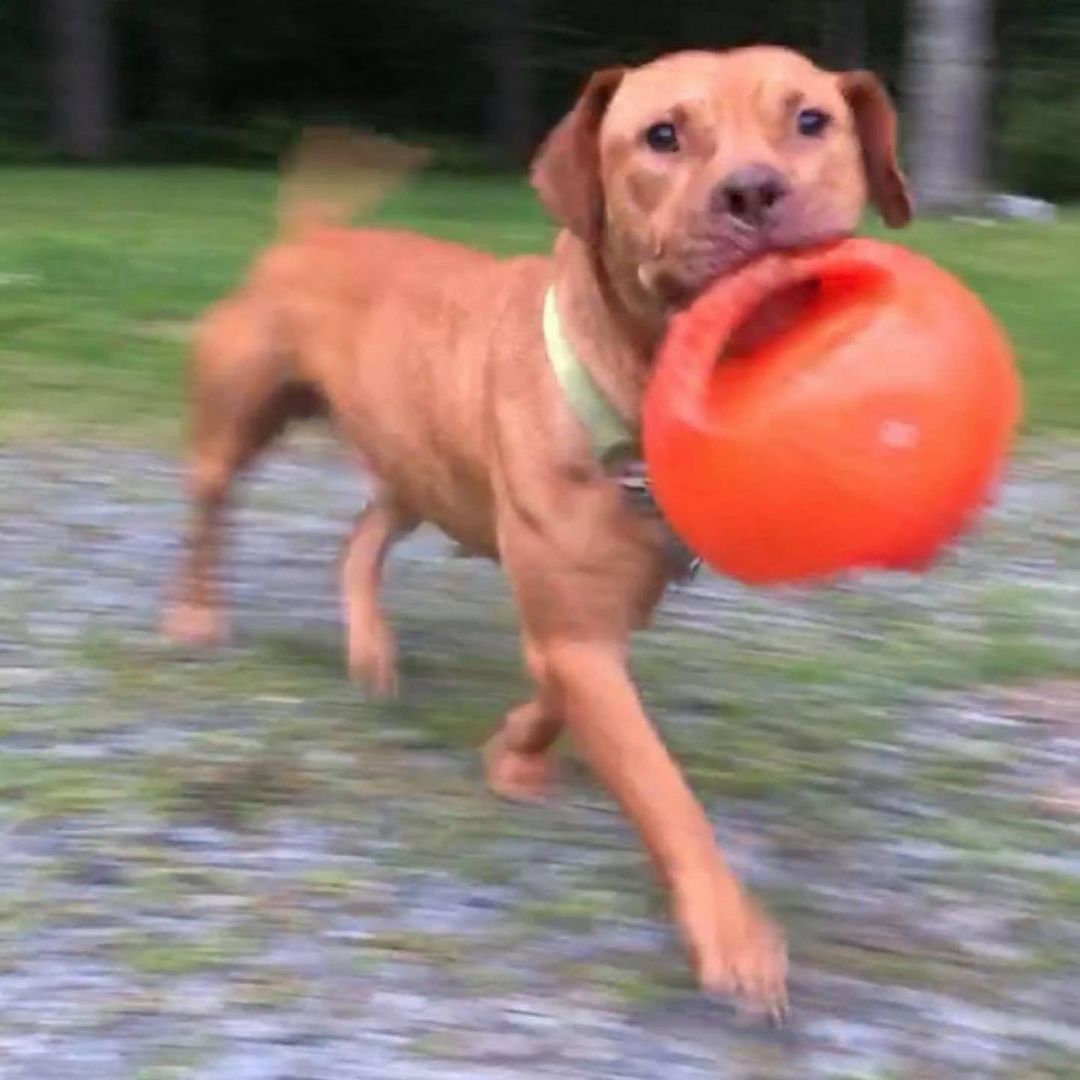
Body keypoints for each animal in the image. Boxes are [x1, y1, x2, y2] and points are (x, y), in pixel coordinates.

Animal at [162, 48, 911, 1010]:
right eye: (661, 135)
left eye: (812, 120)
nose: (752, 190)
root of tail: (310, 234)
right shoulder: (577, 626)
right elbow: (660, 787)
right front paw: (733, 936)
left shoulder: (602, 612)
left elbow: (558, 695)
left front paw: (515, 752)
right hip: (241, 414)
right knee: (209, 509)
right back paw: (195, 616)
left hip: (419, 465)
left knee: (361, 534)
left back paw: (370, 647)